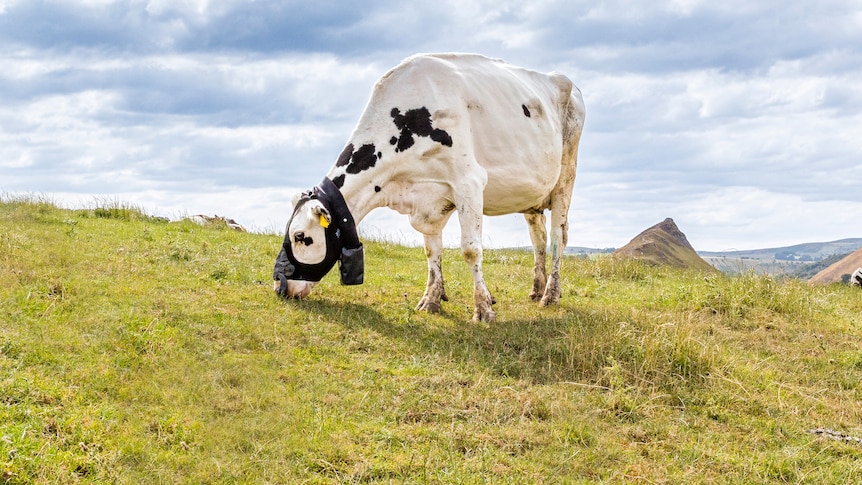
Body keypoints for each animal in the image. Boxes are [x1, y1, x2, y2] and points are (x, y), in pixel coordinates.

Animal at [273, 53, 586, 322]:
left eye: (300, 236)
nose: (279, 286)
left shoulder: (469, 182)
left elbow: (471, 250)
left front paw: (483, 308)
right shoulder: (427, 198)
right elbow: (431, 251)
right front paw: (431, 299)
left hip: (565, 177)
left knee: (558, 237)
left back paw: (550, 295)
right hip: (532, 193)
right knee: (538, 238)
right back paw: (536, 288)